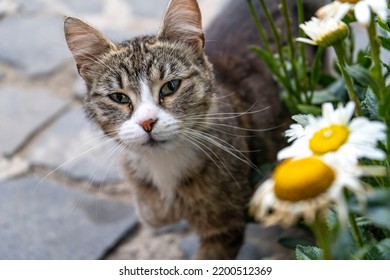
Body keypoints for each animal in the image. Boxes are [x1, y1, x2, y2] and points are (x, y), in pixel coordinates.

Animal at [63, 0, 320, 258]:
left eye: (171, 87)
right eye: (119, 97)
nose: (147, 122)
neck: (164, 164)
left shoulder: (225, 225)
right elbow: (151, 214)